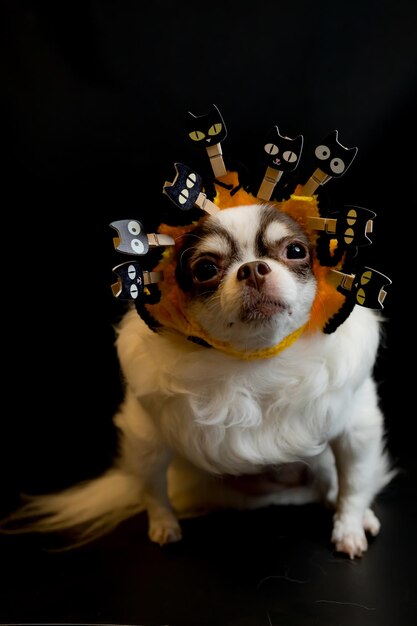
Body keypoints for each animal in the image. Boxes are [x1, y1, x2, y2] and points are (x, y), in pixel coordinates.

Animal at [4, 200, 394, 556]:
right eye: (206, 269)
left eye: (296, 251)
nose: (253, 269)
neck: (254, 358)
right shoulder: (146, 437)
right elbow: (153, 489)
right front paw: (163, 523)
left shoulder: (357, 431)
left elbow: (354, 484)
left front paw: (349, 529)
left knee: (334, 485)